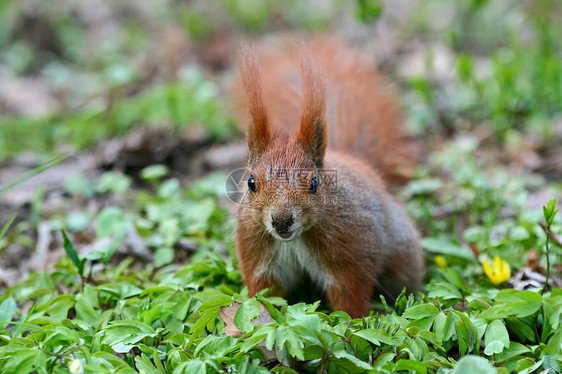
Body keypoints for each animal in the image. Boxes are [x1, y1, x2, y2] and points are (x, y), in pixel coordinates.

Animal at [231, 38, 420, 318]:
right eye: (251, 183)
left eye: (313, 184)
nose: (281, 220)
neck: (295, 239)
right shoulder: (259, 259)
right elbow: (265, 294)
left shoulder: (351, 256)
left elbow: (350, 298)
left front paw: (352, 323)